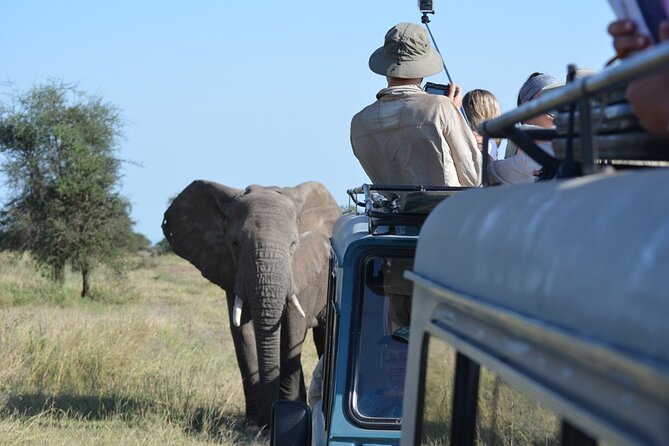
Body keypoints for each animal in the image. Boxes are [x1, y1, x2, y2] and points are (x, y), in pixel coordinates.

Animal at [161, 180, 340, 428]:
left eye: (293, 244)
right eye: (235, 243)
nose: (266, 423)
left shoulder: (304, 271)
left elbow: (291, 333)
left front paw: (286, 414)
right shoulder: (232, 271)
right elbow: (242, 335)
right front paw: (253, 423)